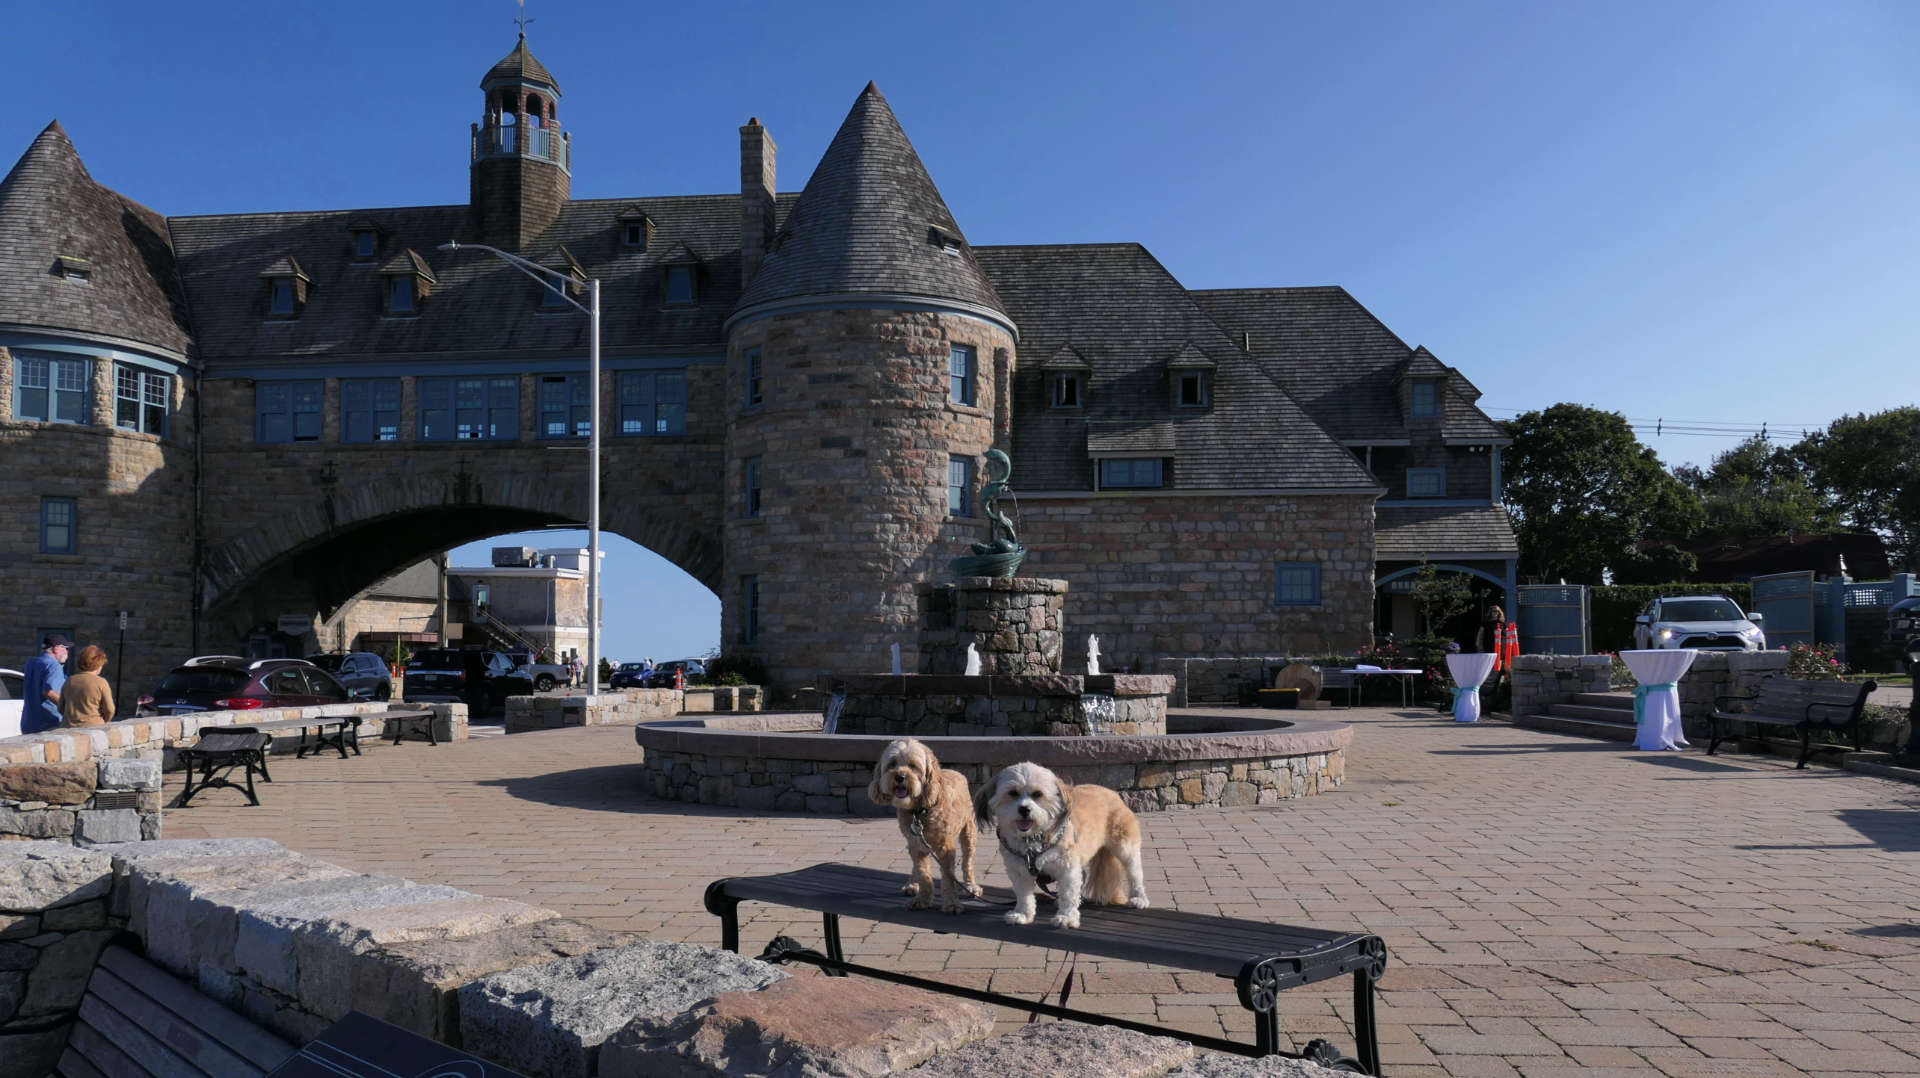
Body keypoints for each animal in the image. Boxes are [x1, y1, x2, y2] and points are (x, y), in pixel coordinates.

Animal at [875, 730, 983, 906]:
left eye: (913, 765)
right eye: (892, 763)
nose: (899, 777)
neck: (920, 811)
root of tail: (956, 772)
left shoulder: (946, 848)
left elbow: (948, 877)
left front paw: (951, 903)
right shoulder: (917, 845)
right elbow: (923, 873)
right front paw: (922, 898)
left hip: (969, 833)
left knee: (968, 861)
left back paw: (971, 886)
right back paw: (912, 884)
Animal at [967, 760, 1144, 930]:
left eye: (1037, 794)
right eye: (1013, 793)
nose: (1024, 809)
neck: (1032, 840)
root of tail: (1114, 794)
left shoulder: (1068, 868)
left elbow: (1068, 895)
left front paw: (1066, 918)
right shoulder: (1018, 871)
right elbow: (1024, 896)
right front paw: (1023, 914)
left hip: (1124, 847)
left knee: (1135, 872)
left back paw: (1139, 898)